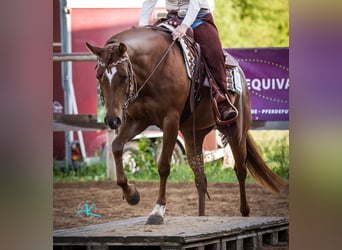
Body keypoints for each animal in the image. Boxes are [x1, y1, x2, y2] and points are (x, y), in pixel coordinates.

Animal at [87, 25, 284, 225]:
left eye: (124, 76)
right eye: (98, 75)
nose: (112, 120)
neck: (154, 68)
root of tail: (241, 75)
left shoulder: (170, 120)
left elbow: (164, 165)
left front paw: (158, 210)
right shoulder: (137, 120)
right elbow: (116, 147)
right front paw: (131, 194)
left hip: (236, 130)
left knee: (240, 170)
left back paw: (245, 212)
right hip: (193, 135)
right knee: (201, 179)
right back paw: (201, 217)